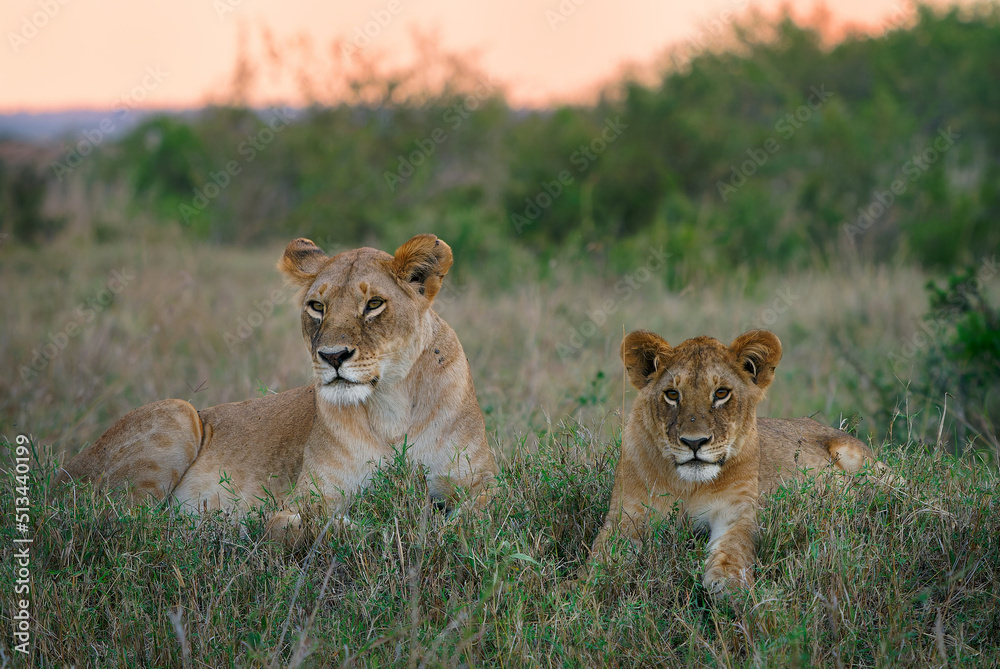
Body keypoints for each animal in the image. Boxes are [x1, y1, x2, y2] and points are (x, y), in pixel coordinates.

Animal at [57, 234, 497, 540]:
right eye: (317, 306)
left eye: (374, 304)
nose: (332, 356)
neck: (391, 403)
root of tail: (59, 474)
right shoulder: (309, 498)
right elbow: (304, 526)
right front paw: (381, 526)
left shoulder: (482, 483)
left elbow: (475, 517)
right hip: (177, 412)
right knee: (125, 522)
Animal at [589, 329, 882, 593]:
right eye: (672, 394)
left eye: (721, 393)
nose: (694, 442)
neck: (689, 486)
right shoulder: (627, 516)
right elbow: (600, 559)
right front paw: (587, 589)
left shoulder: (737, 513)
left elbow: (733, 551)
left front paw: (732, 590)